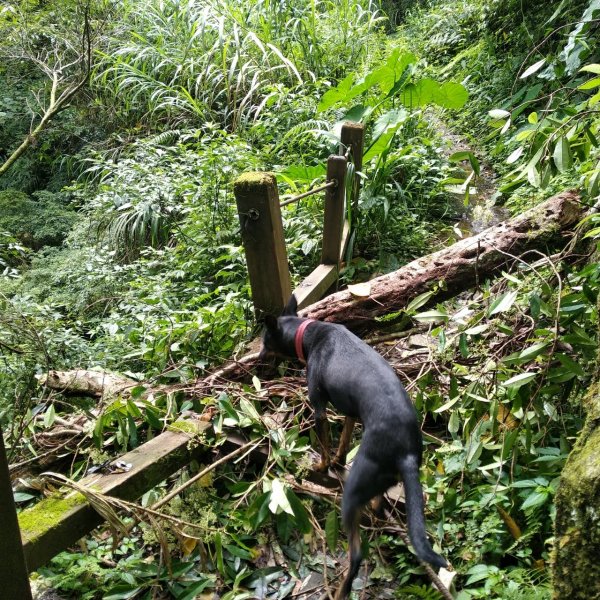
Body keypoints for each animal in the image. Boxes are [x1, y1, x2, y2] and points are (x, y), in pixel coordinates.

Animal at [258, 296, 446, 600]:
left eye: (265, 340)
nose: (256, 358)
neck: (308, 333)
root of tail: (406, 453)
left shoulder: (319, 407)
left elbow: (324, 443)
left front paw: (323, 465)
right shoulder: (350, 412)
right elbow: (343, 440)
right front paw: (337, 460)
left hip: (352, 493)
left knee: (357, 553)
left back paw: (340, 591)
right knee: (379, 504)